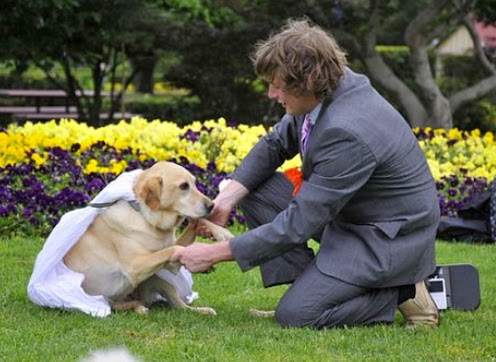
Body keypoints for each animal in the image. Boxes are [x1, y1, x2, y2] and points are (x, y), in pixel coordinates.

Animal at [63, 161, 232, 314]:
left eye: (195, 183)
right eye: (184, 186)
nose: (212, 206)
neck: (147, 219)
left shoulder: (168, 263)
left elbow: (196, 222)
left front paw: (221, 232)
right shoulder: (136, 266)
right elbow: (175, 248)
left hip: (158, 281)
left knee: (180, 306)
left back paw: (200, 310)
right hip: (113, 297)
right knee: (122, 306)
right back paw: (139, 308)